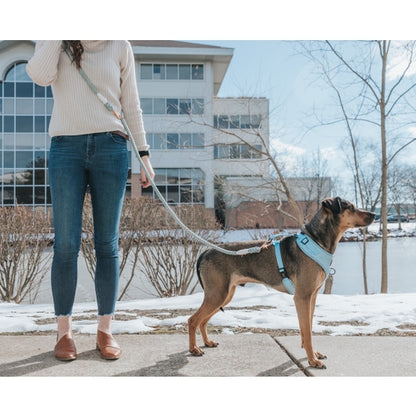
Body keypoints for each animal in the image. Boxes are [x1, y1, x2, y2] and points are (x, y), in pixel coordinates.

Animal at [187, 197, 376, 368]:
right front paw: (313, 360)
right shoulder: (302, 297)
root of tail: (205, 252)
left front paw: (313, 354)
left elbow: (307, 329)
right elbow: (307, 332)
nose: (374, 214)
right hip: (217, 294)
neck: (316, 241)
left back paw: (207, 342)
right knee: (193, 320)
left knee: (203, 321)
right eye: (350, 207)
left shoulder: (312, 297)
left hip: (224, 295)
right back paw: (194, 349)